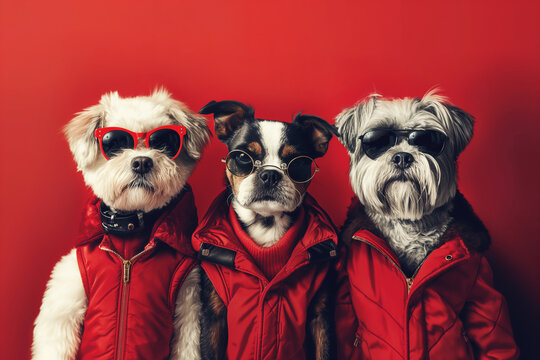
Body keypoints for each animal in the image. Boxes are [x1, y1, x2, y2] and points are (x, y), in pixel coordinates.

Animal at [31, 88, 209, 360]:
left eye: (163, 143)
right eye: (114, 144)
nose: (142, 161)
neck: (129, 241)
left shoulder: (188, 304)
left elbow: (187, 347)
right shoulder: (66, 298)